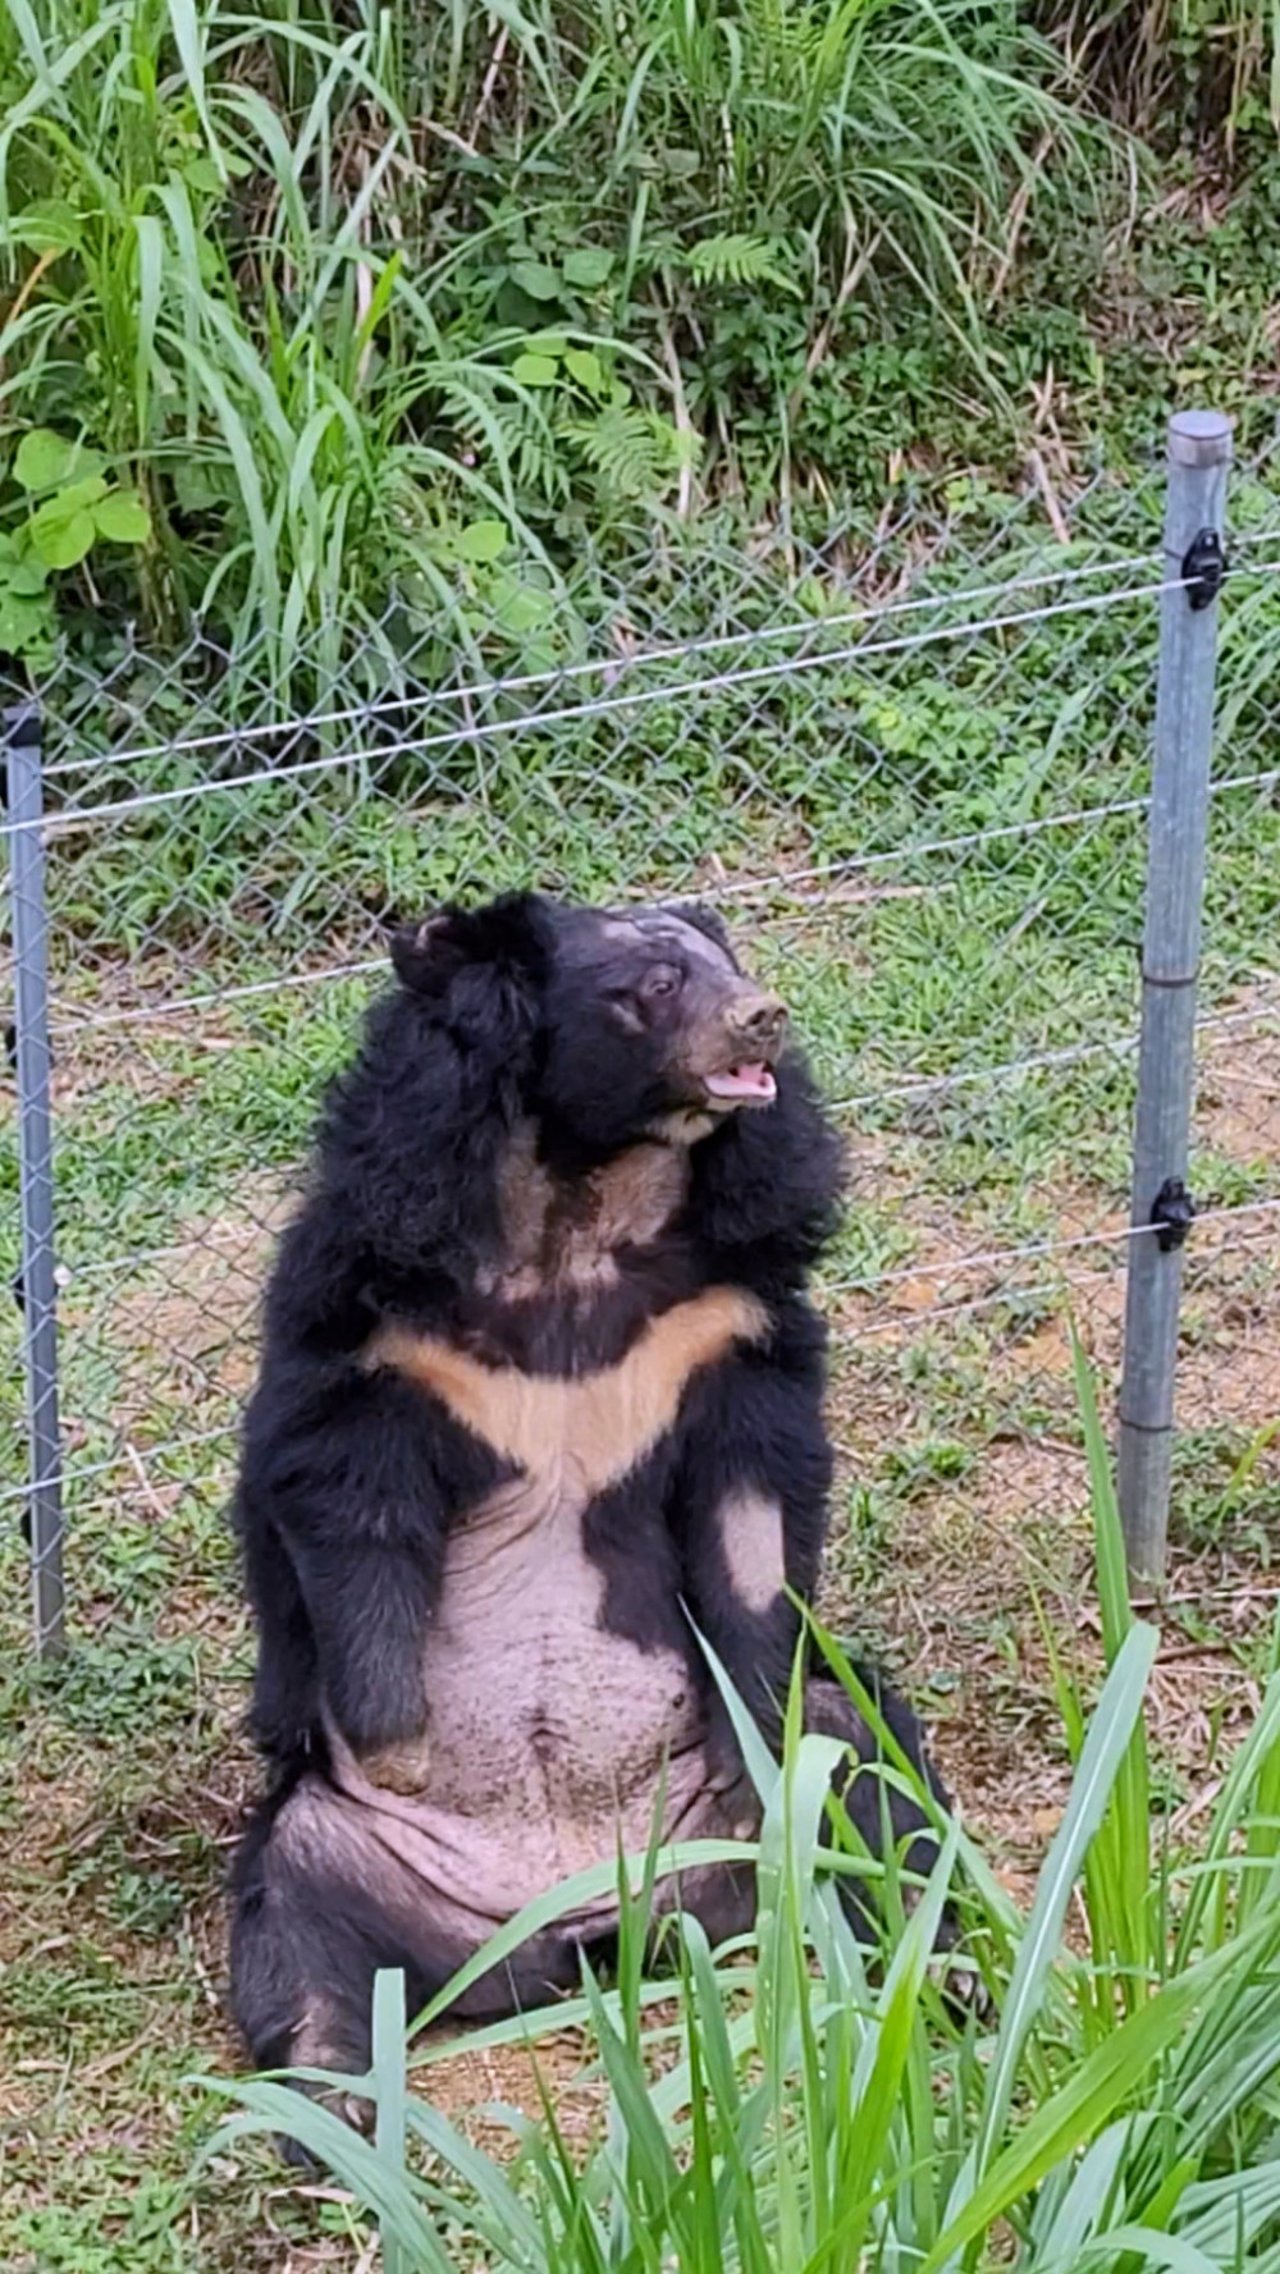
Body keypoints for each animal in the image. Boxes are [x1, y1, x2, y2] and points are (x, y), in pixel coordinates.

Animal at [227, 886, 950, 2082]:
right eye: (653, 986)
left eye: (723, 964)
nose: (765, 1016)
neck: (579, 1207)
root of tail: (584, 1924)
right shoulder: (380, 1310)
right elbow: (346, 1491)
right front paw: (401, 1744)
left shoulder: (725, 1314)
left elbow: (753, 1507)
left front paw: (749, 1721)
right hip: (333, 1836)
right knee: (299, 1933)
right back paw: (336, 2097)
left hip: (779, 1804)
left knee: (870, 1796)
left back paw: (942, 1980)